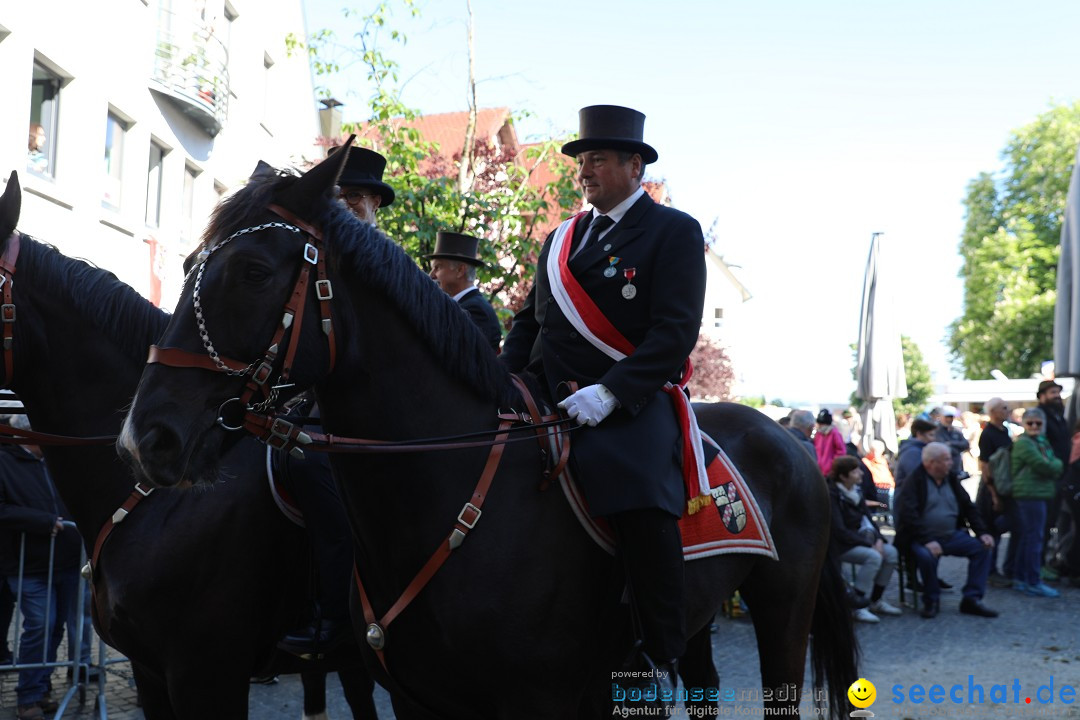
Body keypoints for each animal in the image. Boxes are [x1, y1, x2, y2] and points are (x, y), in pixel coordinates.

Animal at [120, 155, 859, 716]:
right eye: (186, 264)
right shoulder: (419, 699)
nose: (144, 439)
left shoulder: (545, 700)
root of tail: (788, 442)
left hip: (783, 611)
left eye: (251, 272)